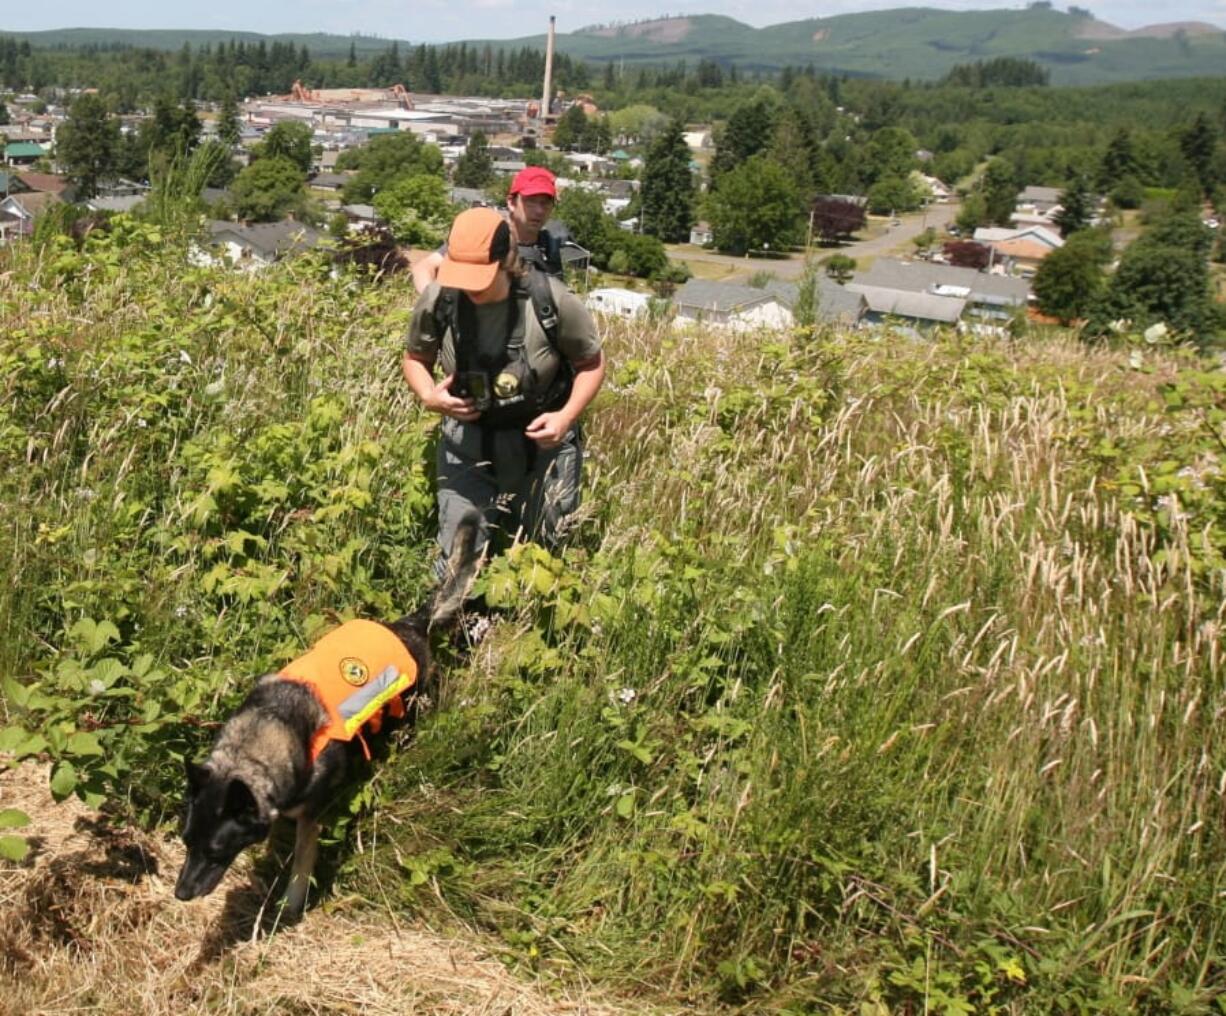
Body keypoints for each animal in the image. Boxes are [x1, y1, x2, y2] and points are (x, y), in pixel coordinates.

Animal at [175, 514, 480, 911]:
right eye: (186, 843)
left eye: (216, 852)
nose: (179, 894)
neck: (263, 739)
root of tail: (412, 624)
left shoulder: (310, 817)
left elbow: (302, 863)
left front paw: (291, 904)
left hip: (409, 716)